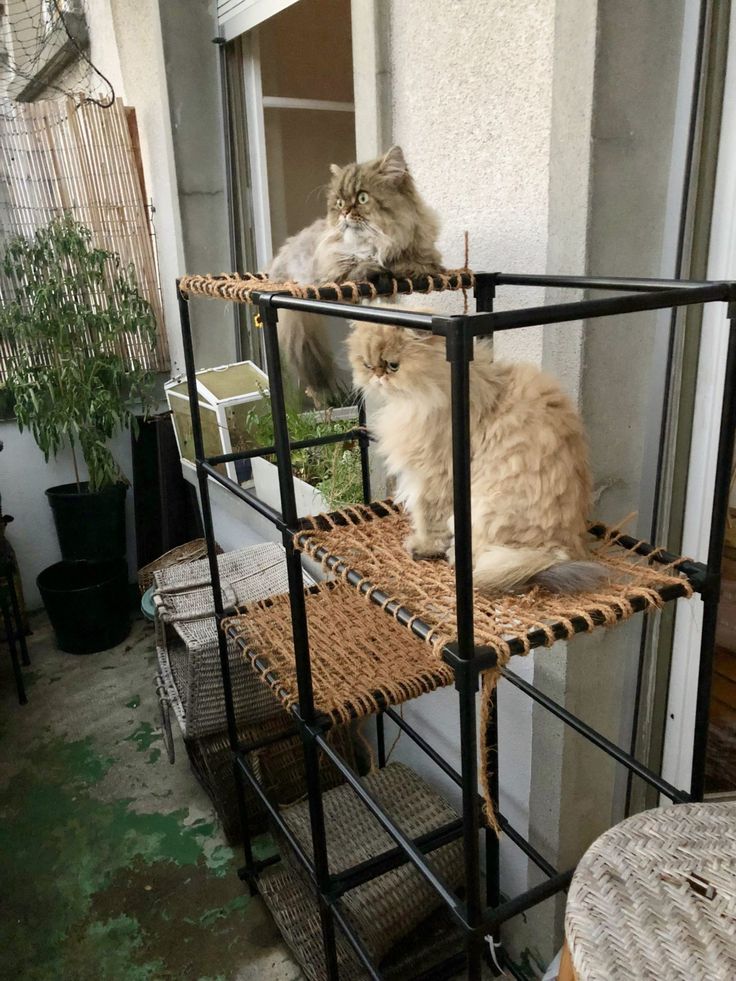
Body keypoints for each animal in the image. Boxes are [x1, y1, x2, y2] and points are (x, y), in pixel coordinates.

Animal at [348, 322, 600, 588]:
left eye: (393, 365)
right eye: (367, 365)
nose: (377, 376)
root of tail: (556, 552)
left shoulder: (434, 477)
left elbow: (429, 520)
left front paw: (424, 547)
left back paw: (454, 556)